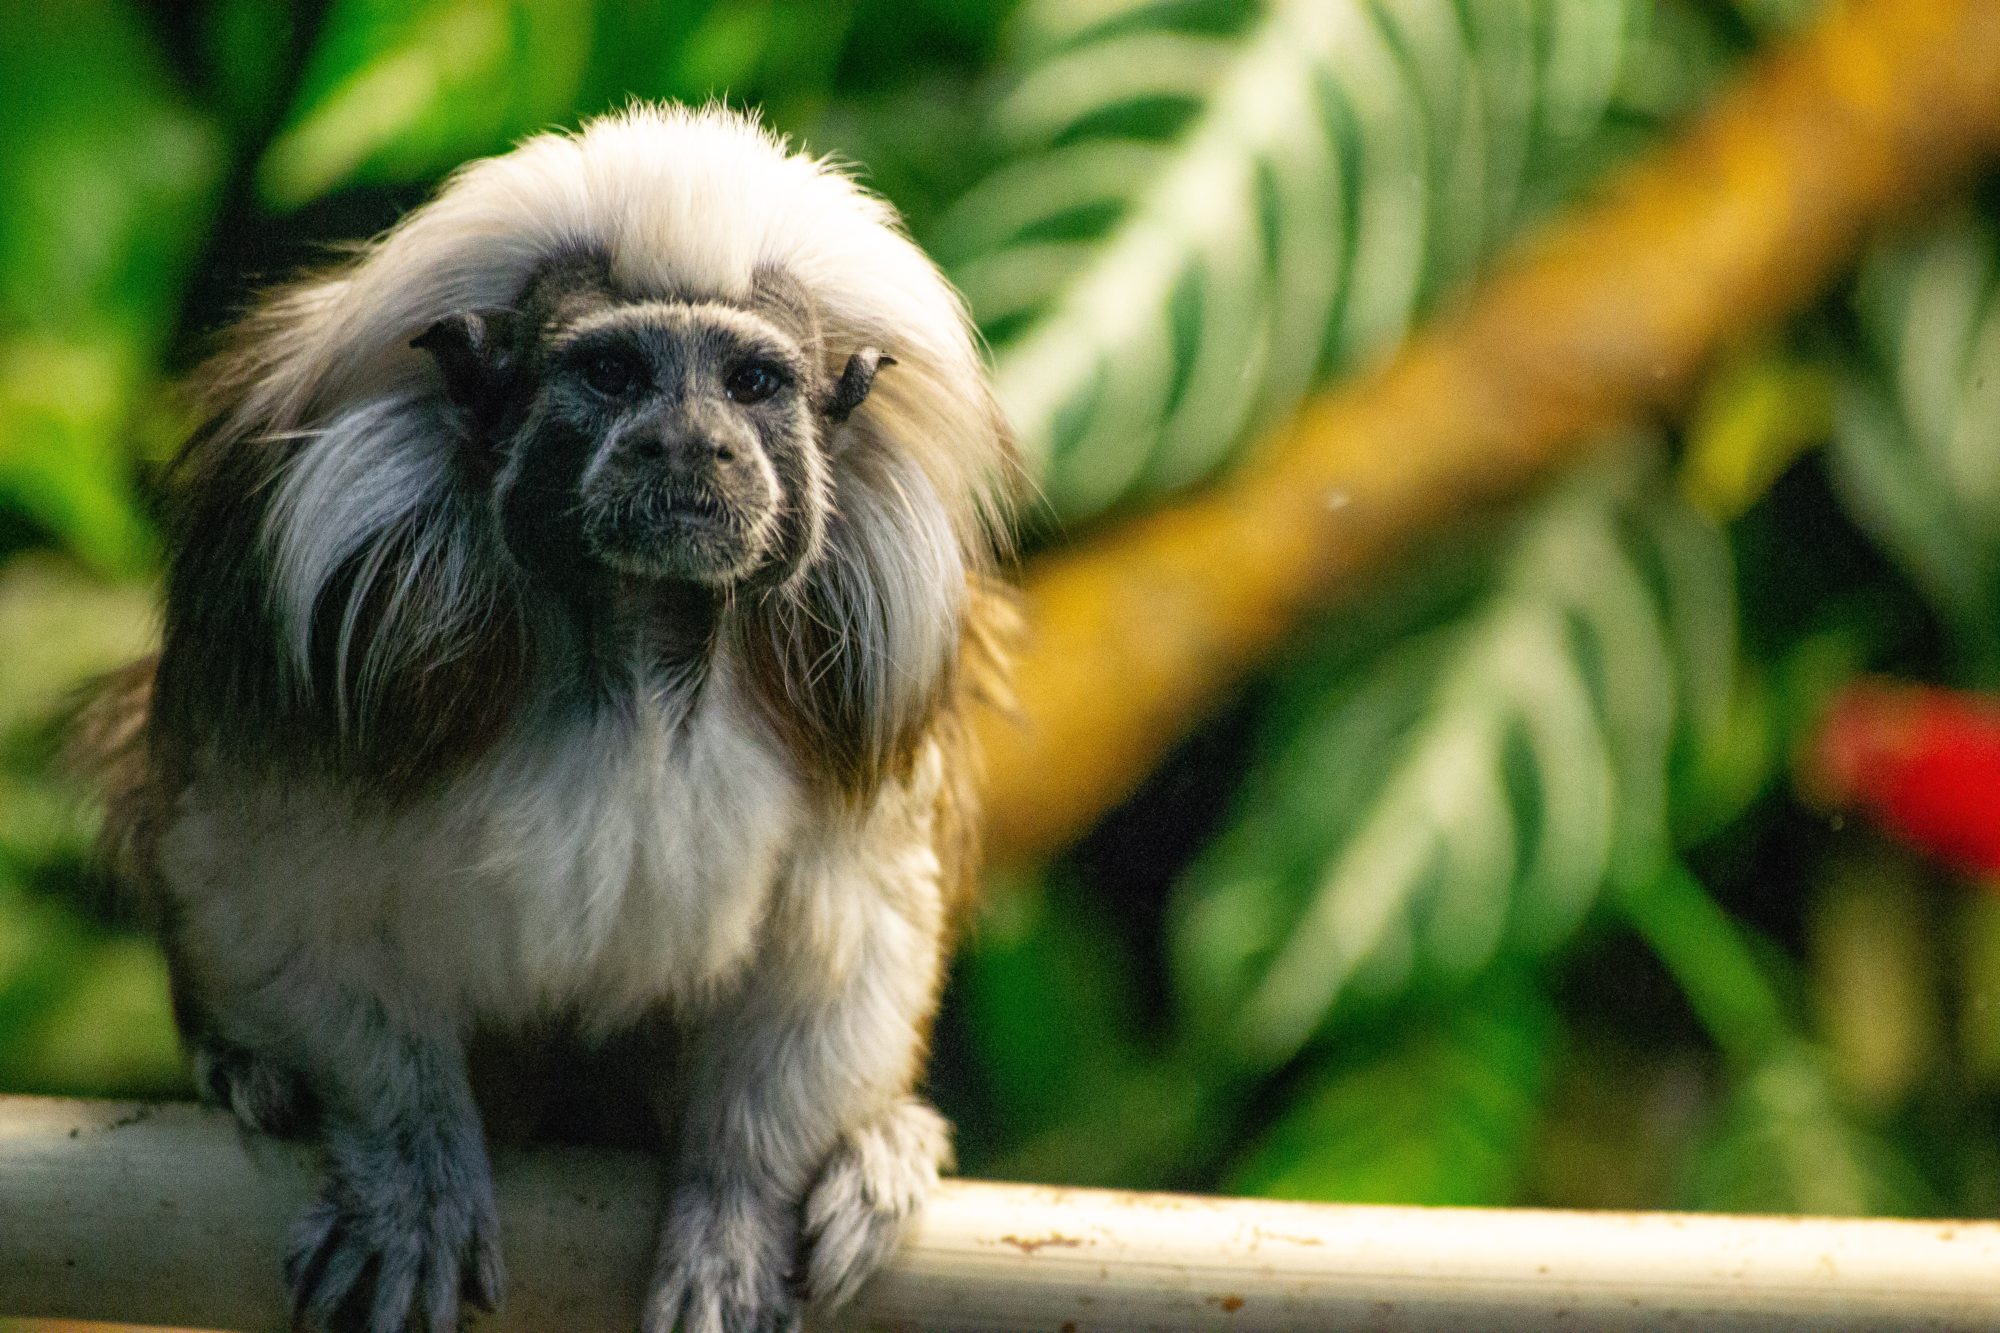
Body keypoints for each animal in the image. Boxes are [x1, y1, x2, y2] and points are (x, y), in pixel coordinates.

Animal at [76, 106, 1016, 1328]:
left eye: (753, 382)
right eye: (613, 374)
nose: (691, 445)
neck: (636, 640)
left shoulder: (863, 669)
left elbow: (843, 924)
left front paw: (740, 1208)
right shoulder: (323, 614)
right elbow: (276, 888)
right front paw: (408, 1162)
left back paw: (878, 1147)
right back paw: (247, 1072)